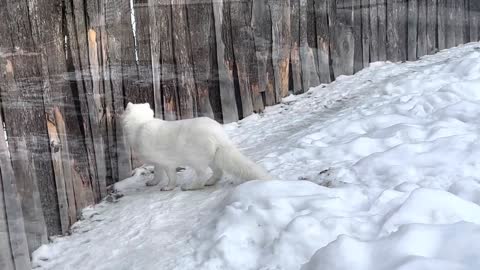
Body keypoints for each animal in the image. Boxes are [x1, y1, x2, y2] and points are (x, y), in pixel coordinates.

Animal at [121, 102, 270, 191]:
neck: (140, 125)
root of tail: (218, 133)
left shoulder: (167, 162)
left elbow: (171, 176)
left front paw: (168, 187)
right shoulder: (157, 162)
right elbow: (157, 174)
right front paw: (152, 183)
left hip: (195, 158)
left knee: (203, 174)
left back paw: (190, 186)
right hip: (212, 157)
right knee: (218, 172)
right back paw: (210, 182)